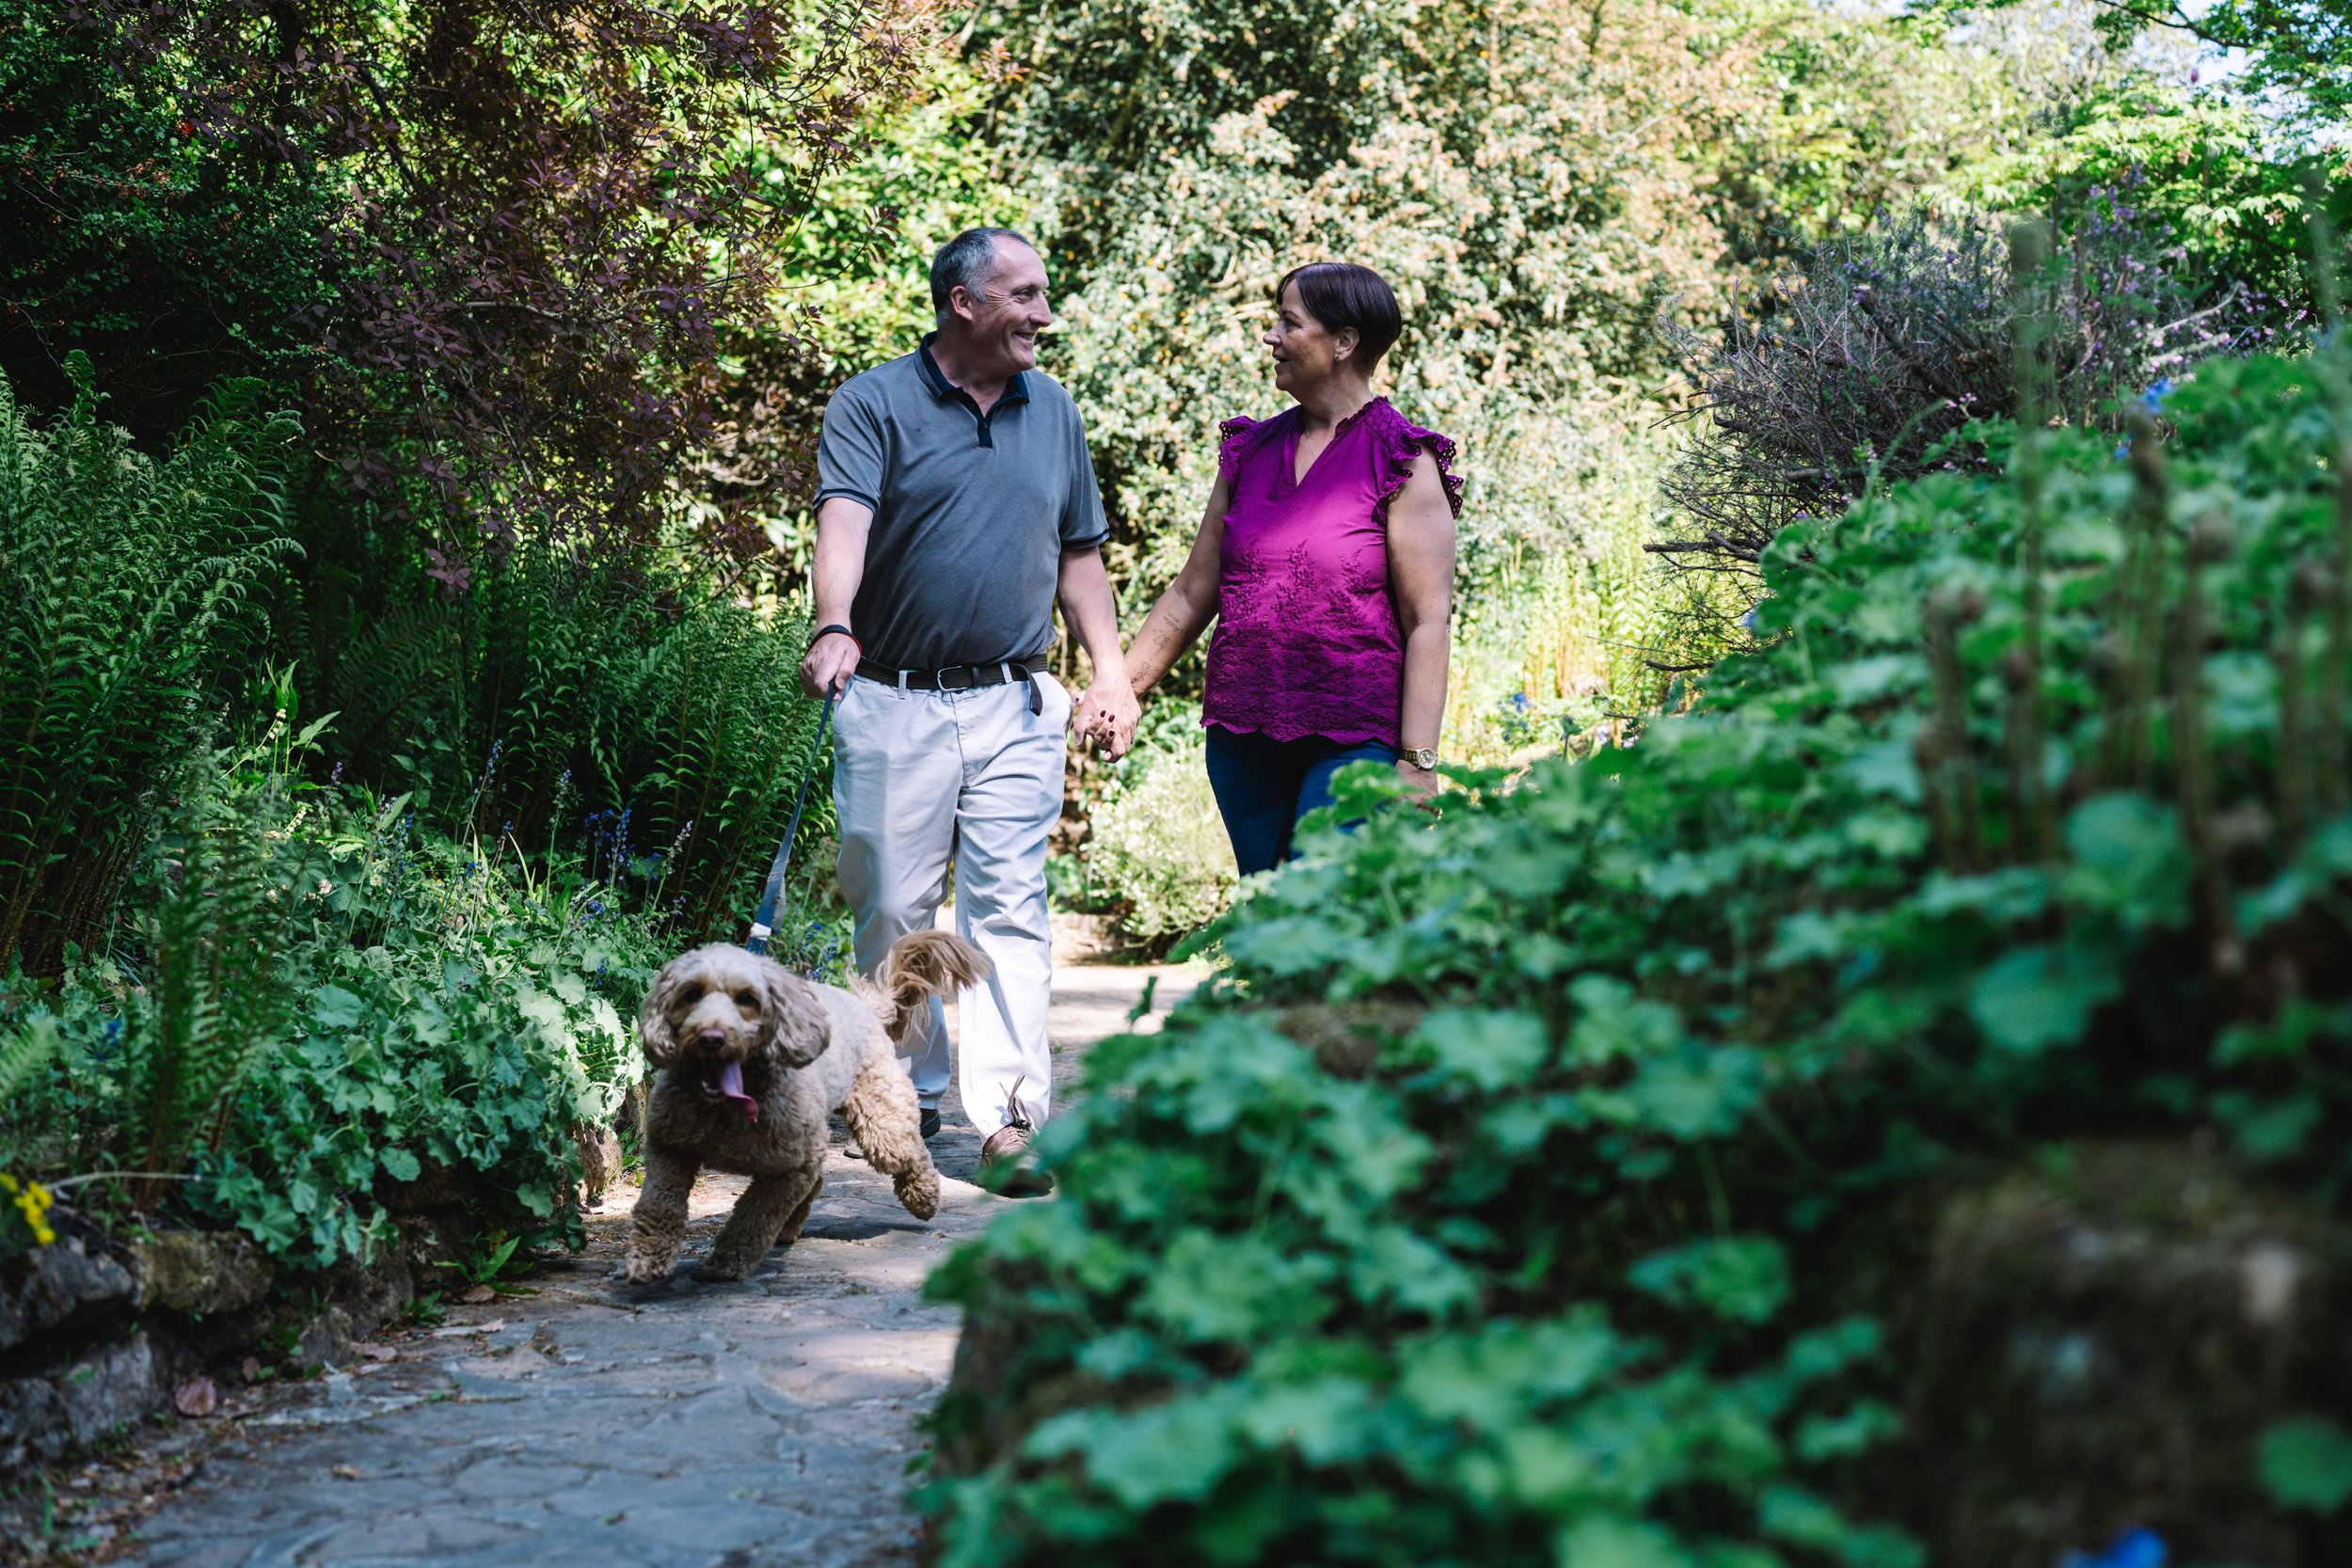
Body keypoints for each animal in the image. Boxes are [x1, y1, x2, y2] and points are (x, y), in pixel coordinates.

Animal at [624, 930, 987, 1285]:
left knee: (911, 1151)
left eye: (746, 998)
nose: (711, 1037)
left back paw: (924, 1198)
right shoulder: (669, 1148)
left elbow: (754, 1214)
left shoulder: (793, 1166)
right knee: (820, 1182)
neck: (727, 1103)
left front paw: (729, 1261)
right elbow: (660, 1205)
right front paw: (649, 1258)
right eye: (692, 993)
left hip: (880, 1119)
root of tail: (864, 1006)